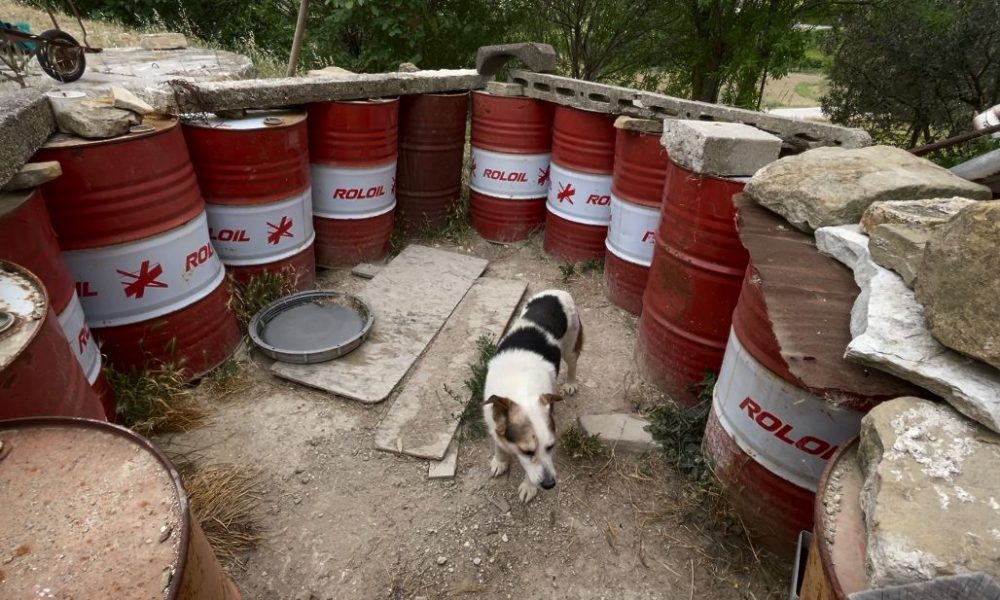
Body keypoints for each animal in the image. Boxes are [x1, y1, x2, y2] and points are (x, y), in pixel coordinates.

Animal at [482, 288, 584, 504]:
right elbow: (499, 444)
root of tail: (558, 290)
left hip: (570, 345)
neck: (521, 386)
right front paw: (500, 461)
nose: (550, 485)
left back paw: (571, 383)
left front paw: (529, 486)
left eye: (551, 446)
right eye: (527, 452)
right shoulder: (493, 419)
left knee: (572, 363)